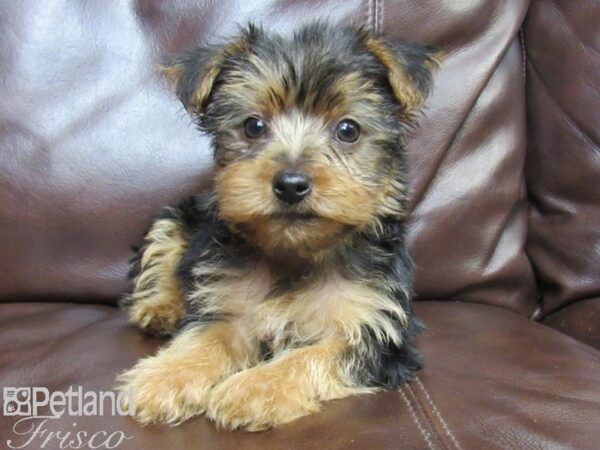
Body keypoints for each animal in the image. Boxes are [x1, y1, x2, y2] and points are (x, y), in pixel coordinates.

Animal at [116, 22, 440, 432]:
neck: (296, 251)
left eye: (348, 130)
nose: (290, 184)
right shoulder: (229, 303)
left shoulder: (378, 330)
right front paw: (163, 378)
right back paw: (160, 309)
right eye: (253, 126)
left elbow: (315, 355)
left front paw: (253, 389)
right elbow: (206, 337)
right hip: (176, 217)